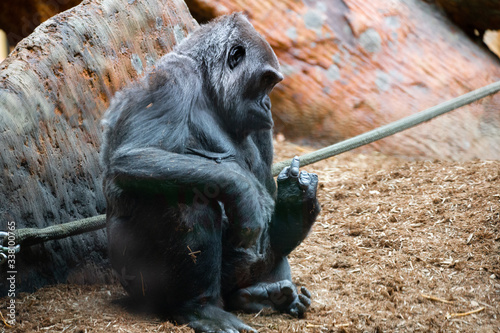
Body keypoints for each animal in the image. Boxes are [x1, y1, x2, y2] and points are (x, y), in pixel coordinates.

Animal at [101, 13, 320, 332]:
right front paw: (244, 192)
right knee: (185, 197)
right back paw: (201, 308)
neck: (207, 84)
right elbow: (135, 154)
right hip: (132, 280)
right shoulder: (171, 77)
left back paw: (261, 296)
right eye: (266, 81)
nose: (268, 105)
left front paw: (297, 202)